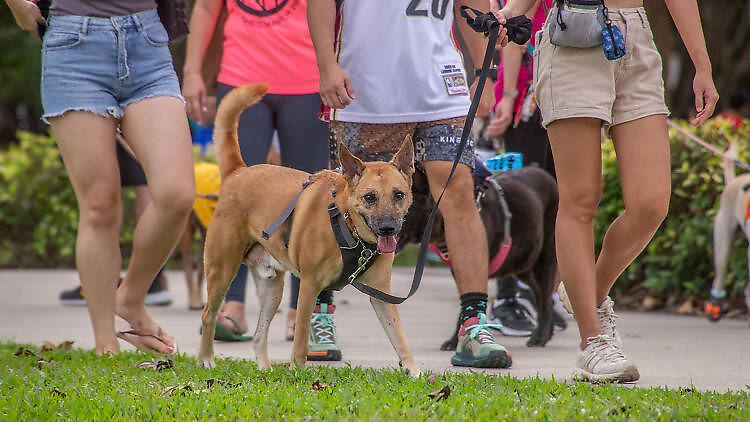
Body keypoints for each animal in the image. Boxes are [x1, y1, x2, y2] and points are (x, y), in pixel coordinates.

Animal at [200, 83, 424, 376]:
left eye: (399, 195)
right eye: (370, 197)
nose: (388, 229)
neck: (348, 227)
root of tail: (238, 171)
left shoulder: (382, 296)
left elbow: (400, 338)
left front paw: (415, 372)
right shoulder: (308, 286)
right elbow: (301, 338)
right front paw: (297, 370)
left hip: (272, 289)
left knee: (259, 335)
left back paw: (265, 369)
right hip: (222, 270)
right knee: (208, 315)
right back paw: (206, 360)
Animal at [400, 163, 560, 348]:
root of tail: (541, 171)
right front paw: (456, 339)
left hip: (544, 260)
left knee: (545, 300)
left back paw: (540, 336)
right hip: (524, 267)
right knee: (541, 297)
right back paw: (547, 333)